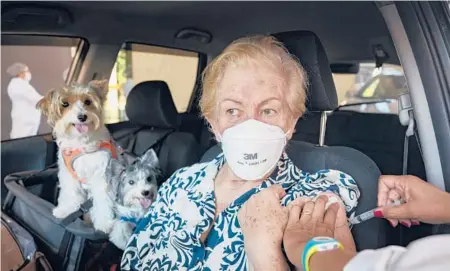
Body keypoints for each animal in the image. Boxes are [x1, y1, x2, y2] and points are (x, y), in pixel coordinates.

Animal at [37, 80, 116, 234]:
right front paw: (65, 210)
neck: (81, 141)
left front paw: (104, 223)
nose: (82, 117)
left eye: (88, 101)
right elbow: (70, 193)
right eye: (65, 104)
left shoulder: (101, 176)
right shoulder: (69, 175)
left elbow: (102, 200)